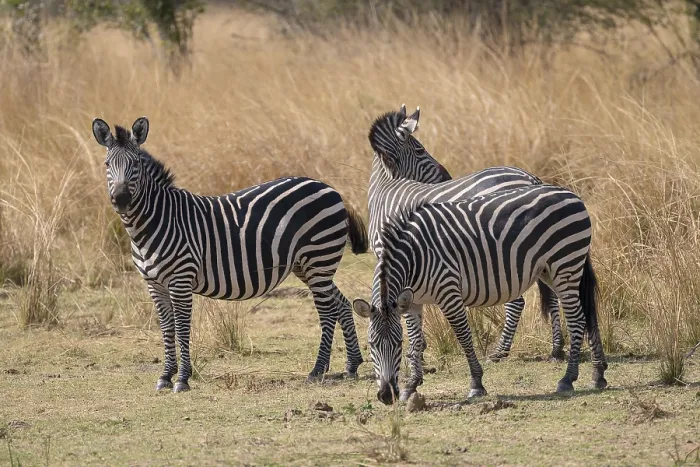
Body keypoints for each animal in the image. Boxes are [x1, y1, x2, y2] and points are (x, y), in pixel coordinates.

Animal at [91, 116, 368, 392]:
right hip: (309, 265)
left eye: (136, 163)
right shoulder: (154, 284)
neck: (154, 223)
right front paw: (165, 376)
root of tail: (329, 188)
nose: (121, 199)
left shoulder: (181, 280)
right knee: (342, 304)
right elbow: (167, 328)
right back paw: (352, 366)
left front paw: (182, 379)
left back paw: (317, 370)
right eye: (106, 164)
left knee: (328, 311)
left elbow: (181, 327)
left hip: (318, 258)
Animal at [353, 185, 608, 404]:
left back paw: (568, 378)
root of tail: (570, 193)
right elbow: (416, 341)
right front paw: (411, 386)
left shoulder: (449, 291)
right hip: (551, 271)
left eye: (397, 344)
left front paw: (476, 383)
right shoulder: (412, 302)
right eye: (372, 344)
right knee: (588, 314)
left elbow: (464, 337)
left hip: (565, 264)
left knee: (577, 319)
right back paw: (598, 374)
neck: (414, 257)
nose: (387, 396)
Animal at [366, 105, 565, 383]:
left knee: (517, 301)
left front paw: (415, 354)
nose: (446, 176)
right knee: (551, 294)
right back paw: (557, 349)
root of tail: (530, 177)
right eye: (421, 150)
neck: (387, 188)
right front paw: (418, 352)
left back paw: (500, 351)